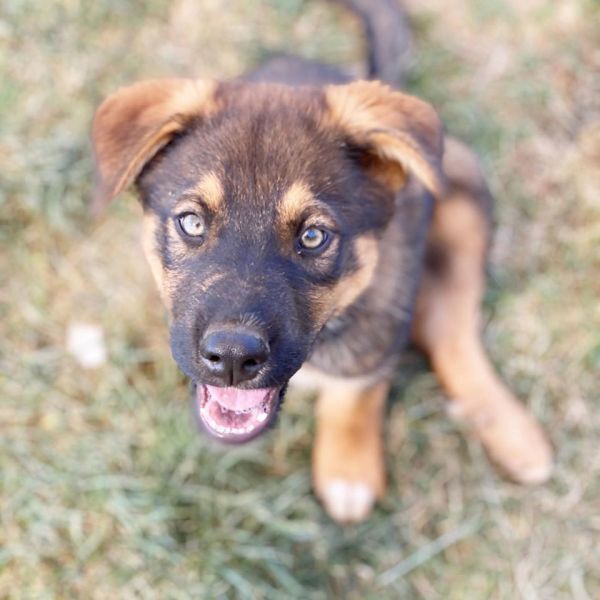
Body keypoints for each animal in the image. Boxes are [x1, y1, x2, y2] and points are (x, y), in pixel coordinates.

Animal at [90, 0, 552, 524]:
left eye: (313, 237)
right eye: (191, 222)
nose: (233, 358)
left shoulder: (377, 327)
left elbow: (357, 389)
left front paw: (348, 467)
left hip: (463, 195)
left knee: (451, 330)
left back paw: (515, 433)